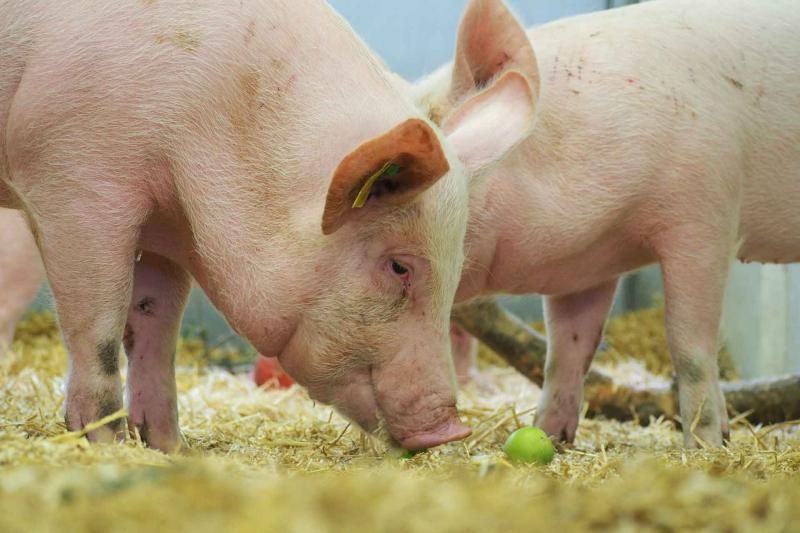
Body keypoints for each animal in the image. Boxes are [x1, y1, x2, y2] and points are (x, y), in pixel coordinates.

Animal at [0, 0, 537, 452]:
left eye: (456, 271)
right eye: (399, 266)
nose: (451, 429)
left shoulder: (166, 227)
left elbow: (155, 327)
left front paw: (172, 450)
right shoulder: (72, 181)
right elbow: (101, 330)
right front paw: (107, 446)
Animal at [414, 0, 800, 447]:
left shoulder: (706, 218)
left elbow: (690, 347)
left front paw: (705, 447)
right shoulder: (583, 268)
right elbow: (566, 350)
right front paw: (550, 437)